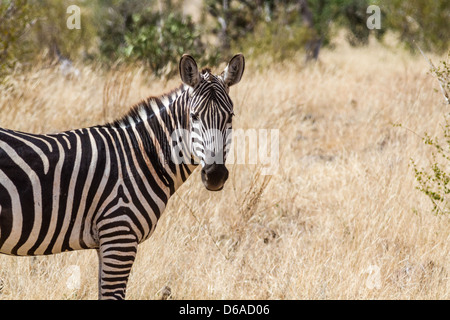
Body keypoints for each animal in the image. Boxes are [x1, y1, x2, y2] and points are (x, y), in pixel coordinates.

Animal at [0, 53, 246, 298]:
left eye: (230, 116)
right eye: (194, 117)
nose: (215, 175)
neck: (142, 155)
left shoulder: (106, 241)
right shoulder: (119, 235)